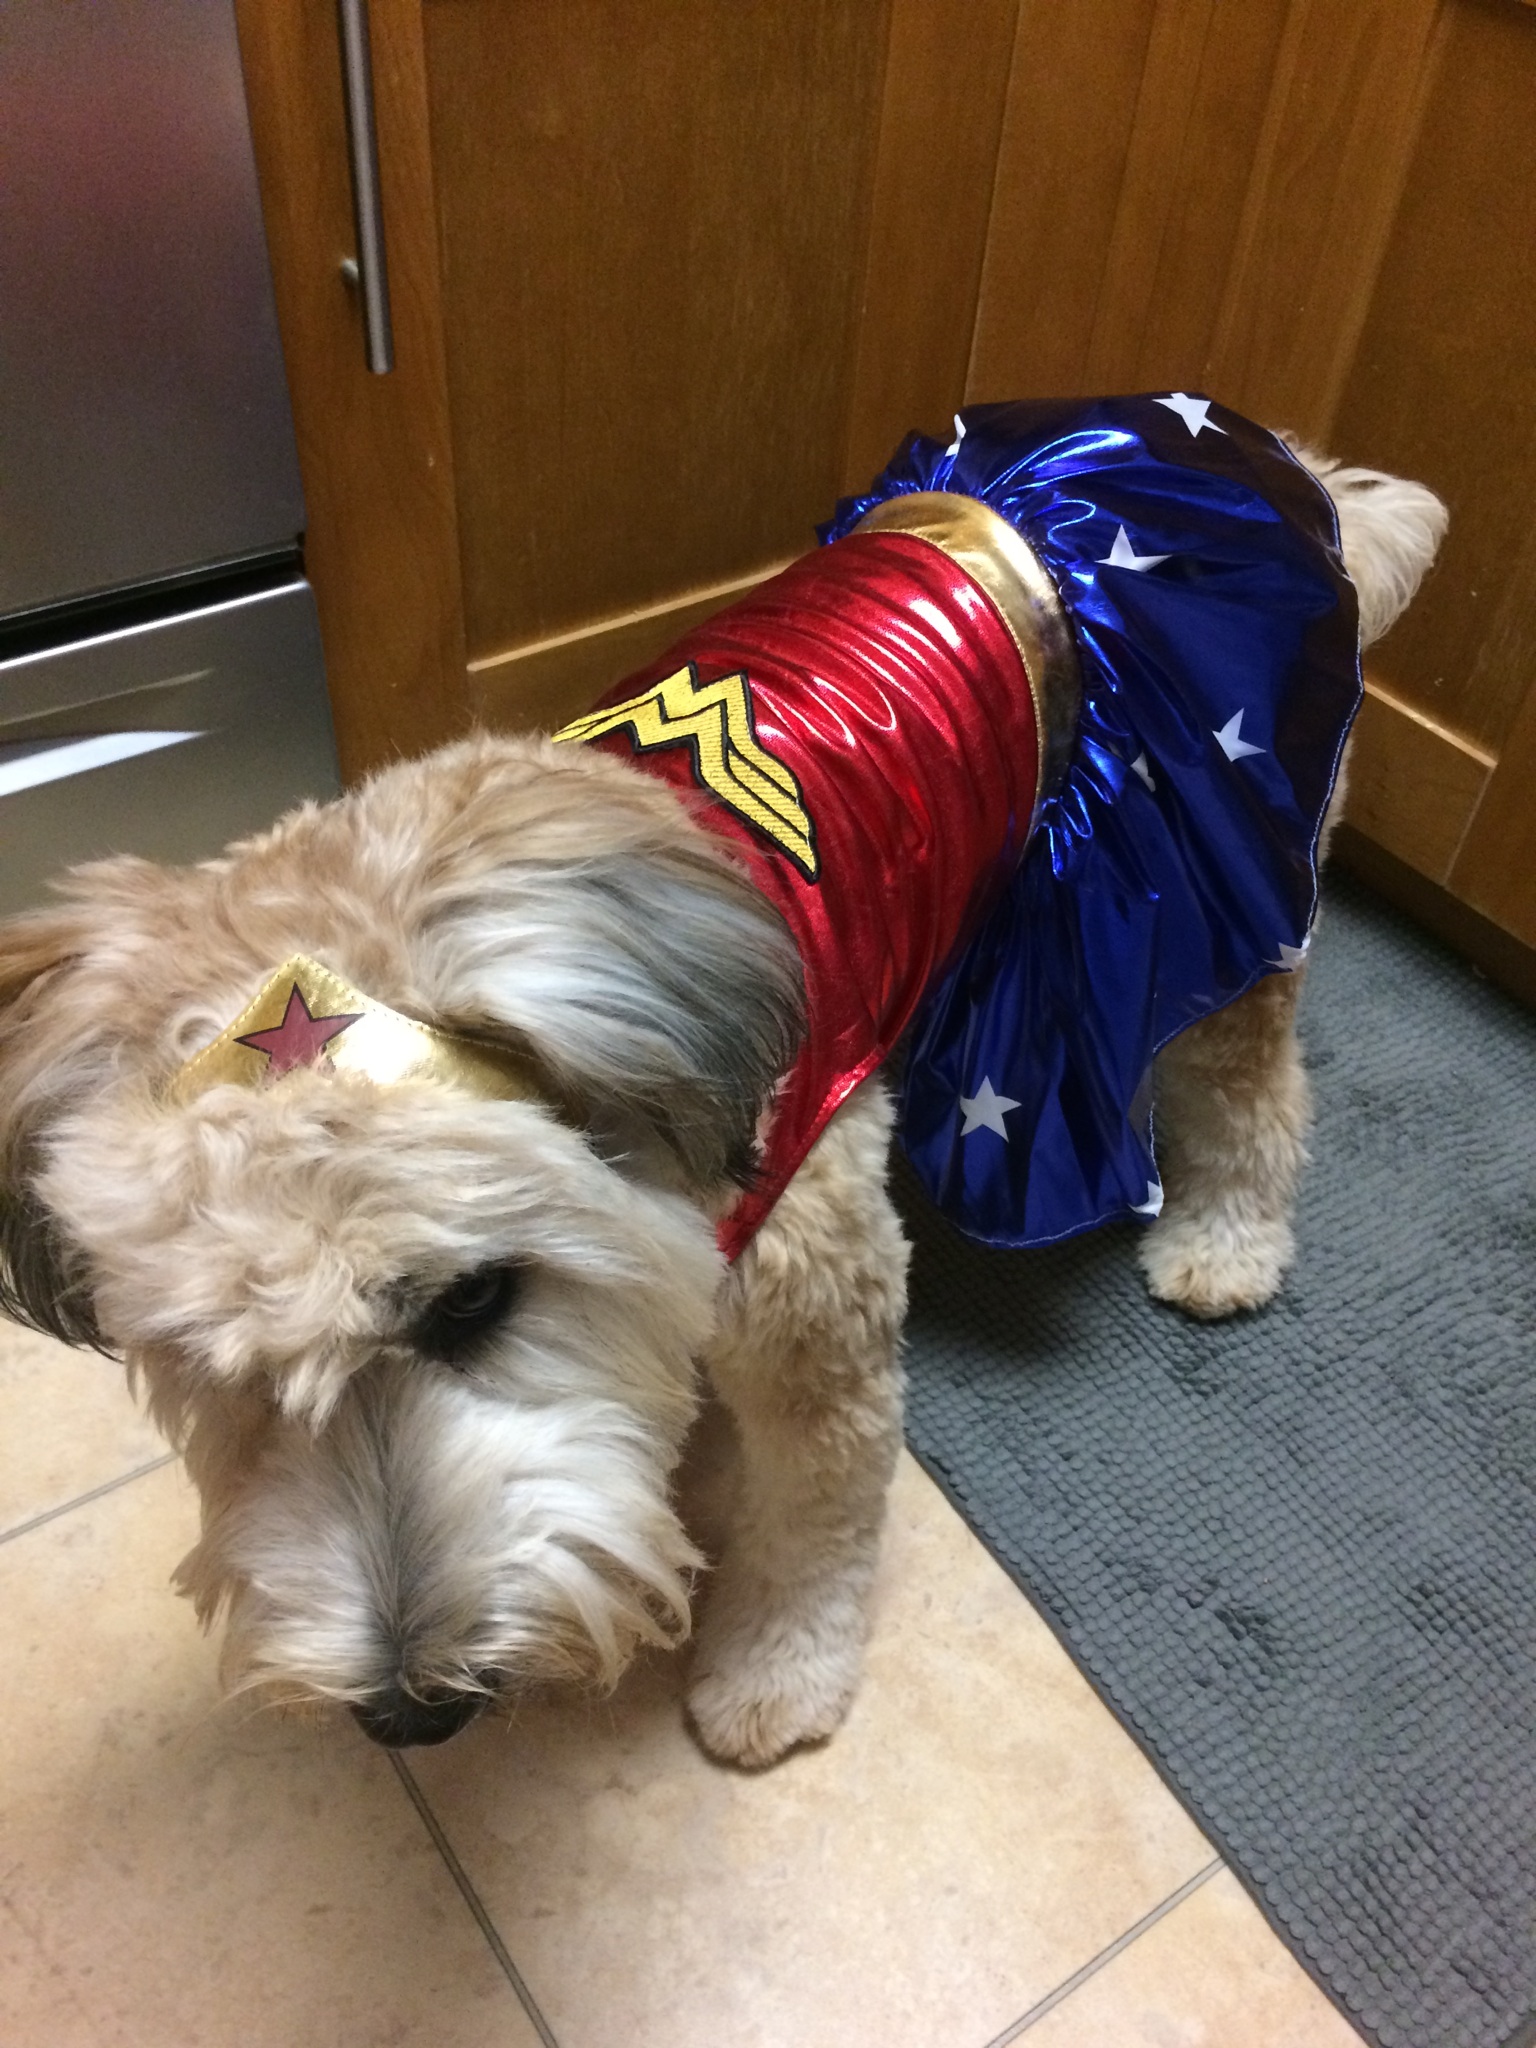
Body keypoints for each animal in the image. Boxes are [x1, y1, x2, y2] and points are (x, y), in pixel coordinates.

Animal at [0, 398, 1445, 1766]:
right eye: (209, 1363)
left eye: (473, 1299)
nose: (410, 1714)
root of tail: (1265, 450)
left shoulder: (818, 1324)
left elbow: (814, 1526)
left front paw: (776, 1673)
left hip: (1233, 886)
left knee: (1254, 1090)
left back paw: (1226, 1242)